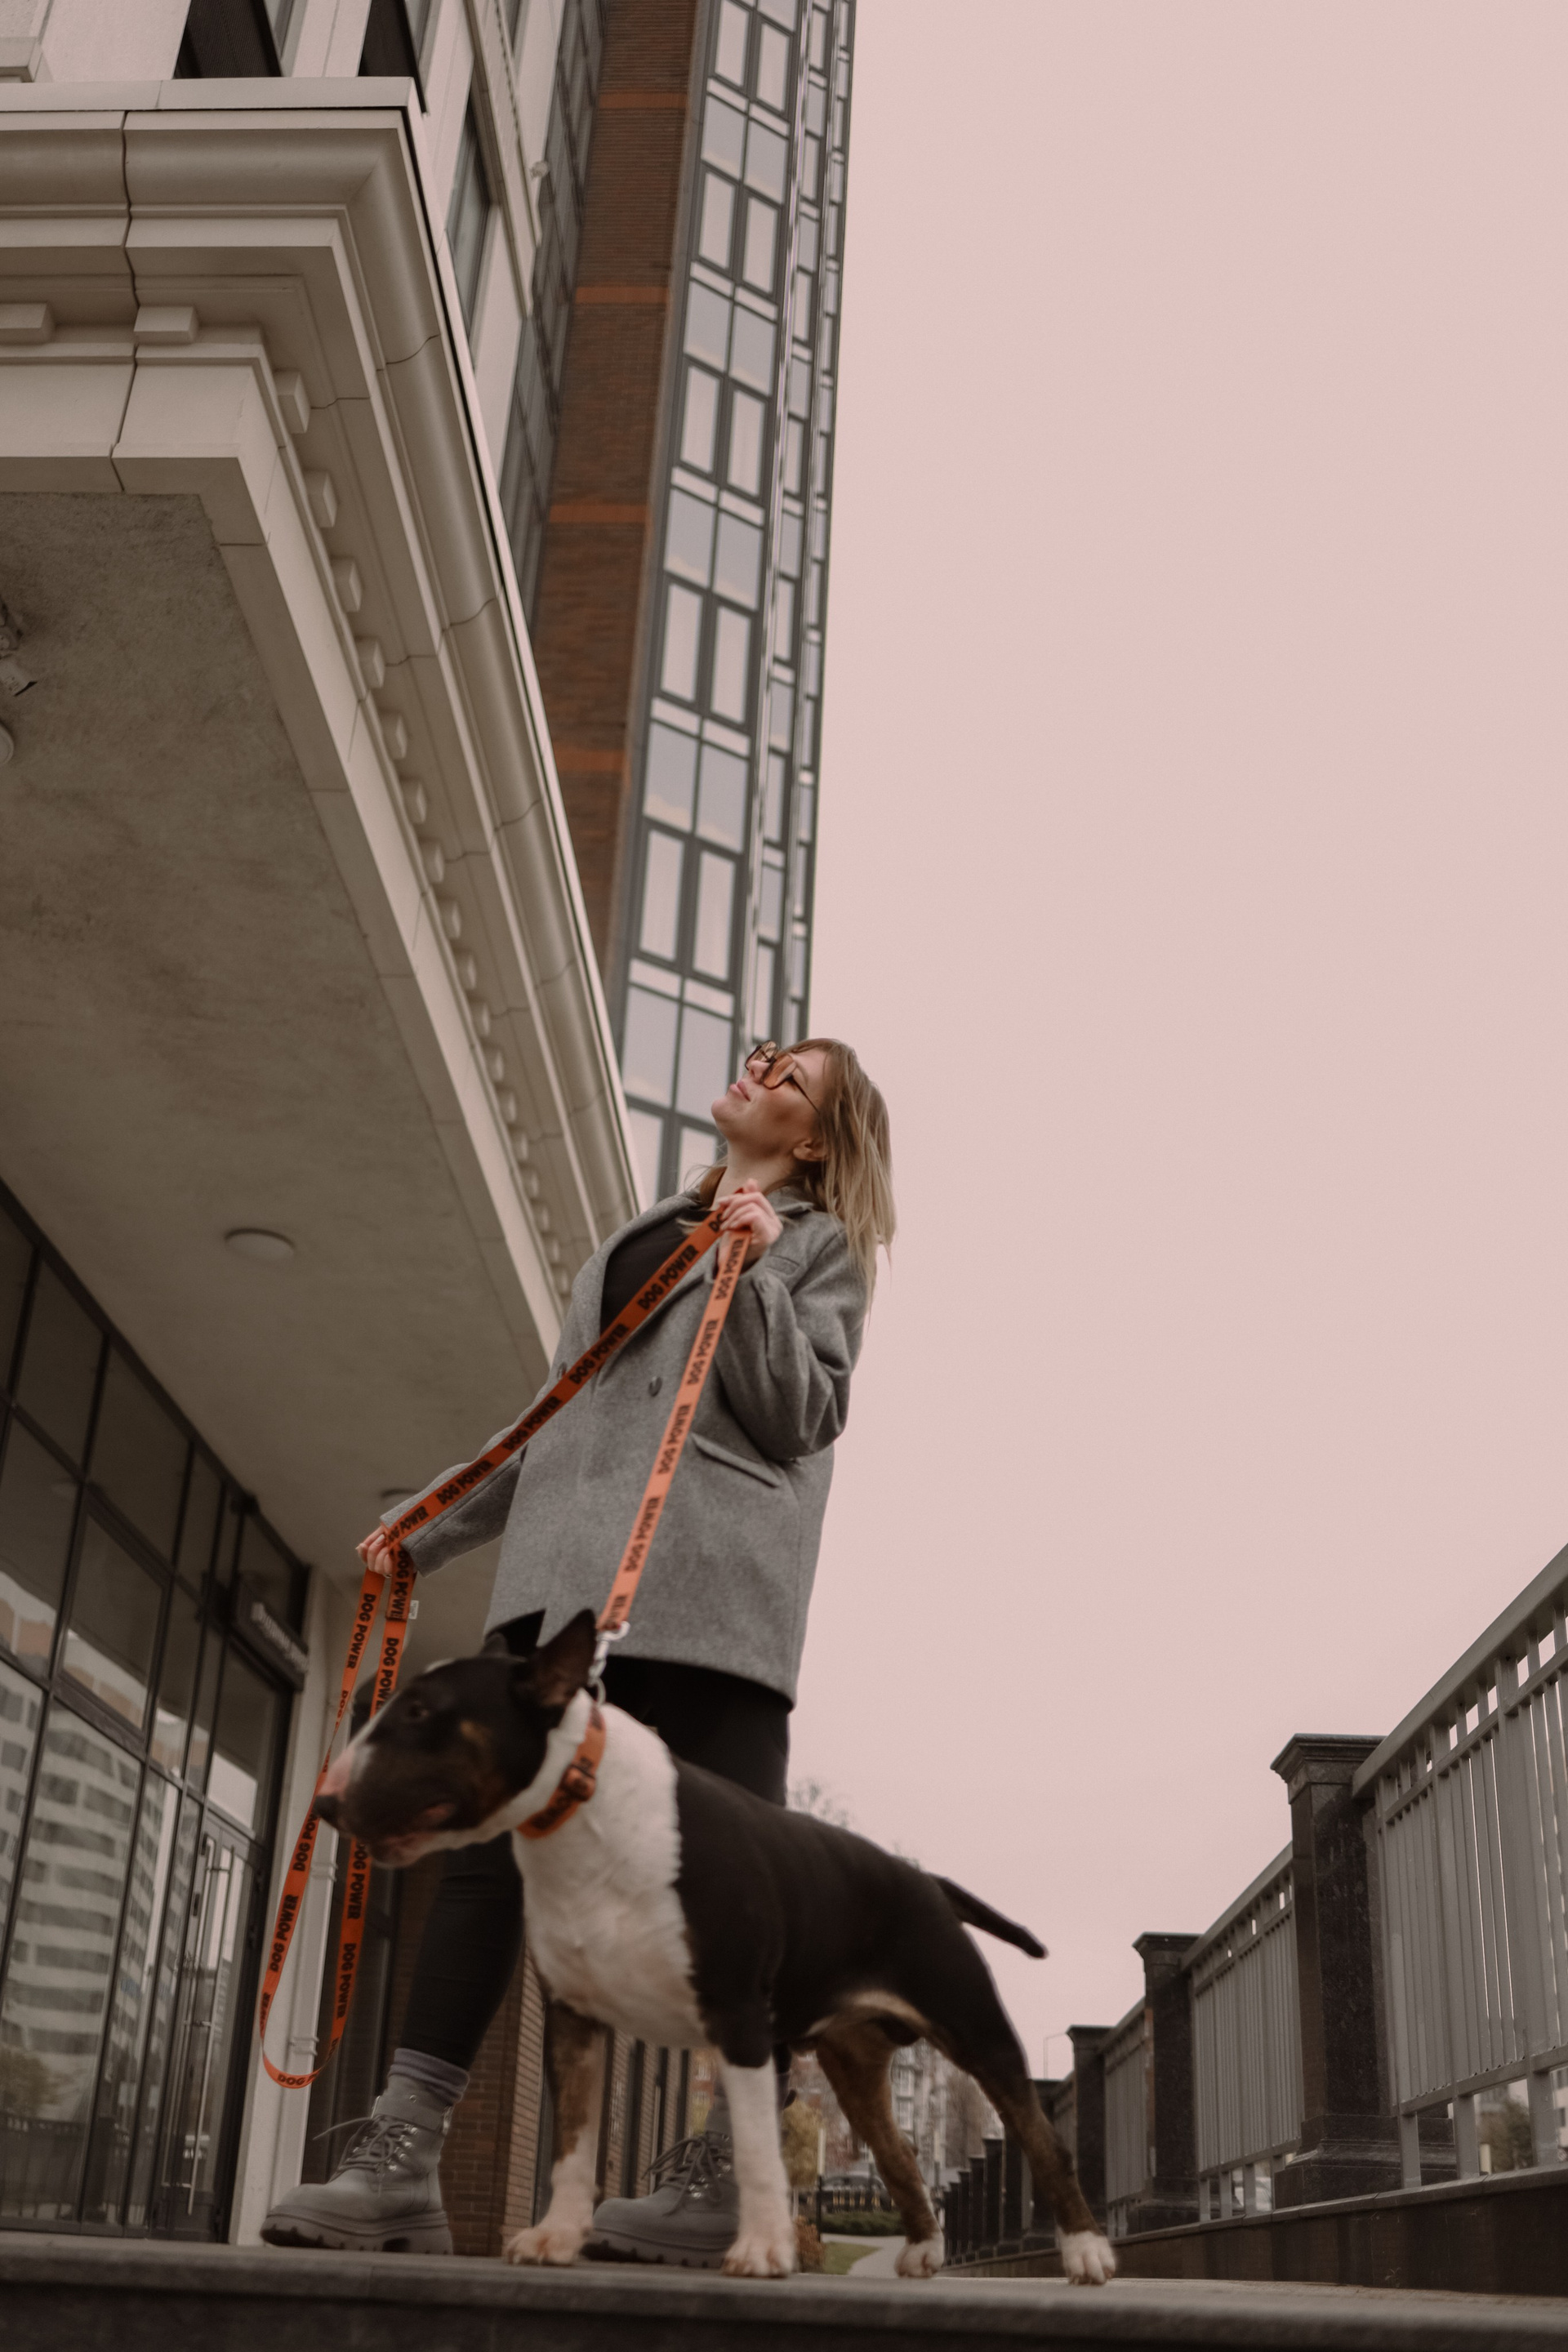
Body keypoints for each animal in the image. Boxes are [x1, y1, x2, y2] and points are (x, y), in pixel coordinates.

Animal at [315, 1610, 1116, 2285]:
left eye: (421, 1712)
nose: (324, 1802)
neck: (582, 1809)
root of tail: (927, 1881)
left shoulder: (739, 2018)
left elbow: (760, 2149)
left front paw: (762, 2250)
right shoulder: (575, 2019)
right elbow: (572, 2143)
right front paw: (556, 2238)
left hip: (976, 2029)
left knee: (1043, 2141)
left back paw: (1086, 2253)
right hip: (856, 2070)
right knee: (898, 2155)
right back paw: (922, 2250)